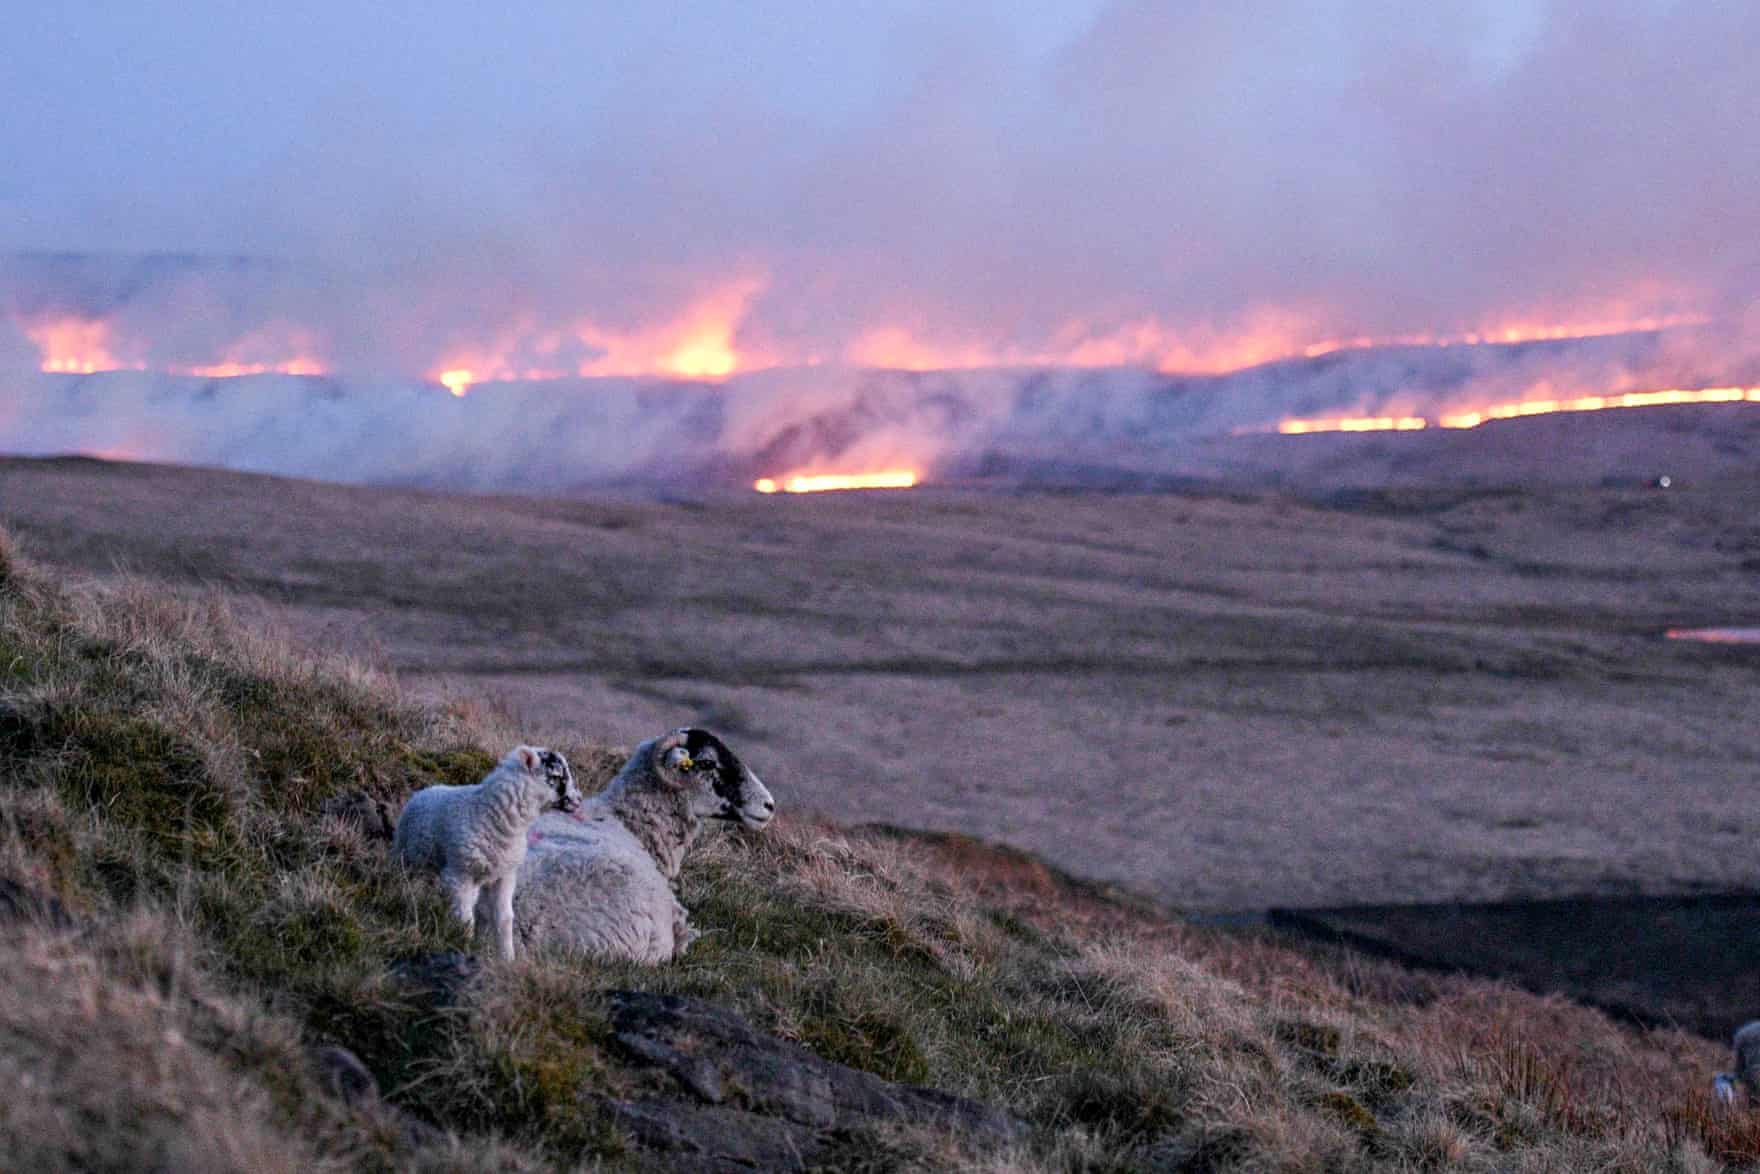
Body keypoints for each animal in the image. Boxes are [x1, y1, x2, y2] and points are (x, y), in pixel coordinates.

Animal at [394, 749, 580, 957]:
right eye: (557, 775)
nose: (578, 799)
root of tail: (426, 790)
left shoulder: (504, 876)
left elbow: (504, 919)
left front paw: (507, 957)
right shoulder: (460, 874)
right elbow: (464, 919)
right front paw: (463, 946)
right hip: (408, 858)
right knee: (407, 883)